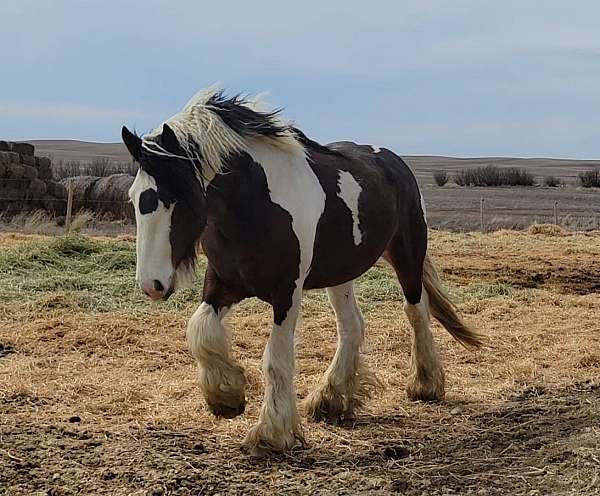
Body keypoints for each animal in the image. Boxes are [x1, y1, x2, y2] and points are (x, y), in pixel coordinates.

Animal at [122, 88, 482, 454]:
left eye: (174, 197)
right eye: (135, 198)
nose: (152, 285)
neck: (253, 206)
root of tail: (395, 162)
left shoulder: (286, 292)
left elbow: (275, 358)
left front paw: (273, 433)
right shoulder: (223, 283)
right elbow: (200, 331)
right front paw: (227, 396)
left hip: (407, 253)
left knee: (416, 311)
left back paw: (425, 384)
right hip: (340, 272)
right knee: (352, 326)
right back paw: (331, 398)